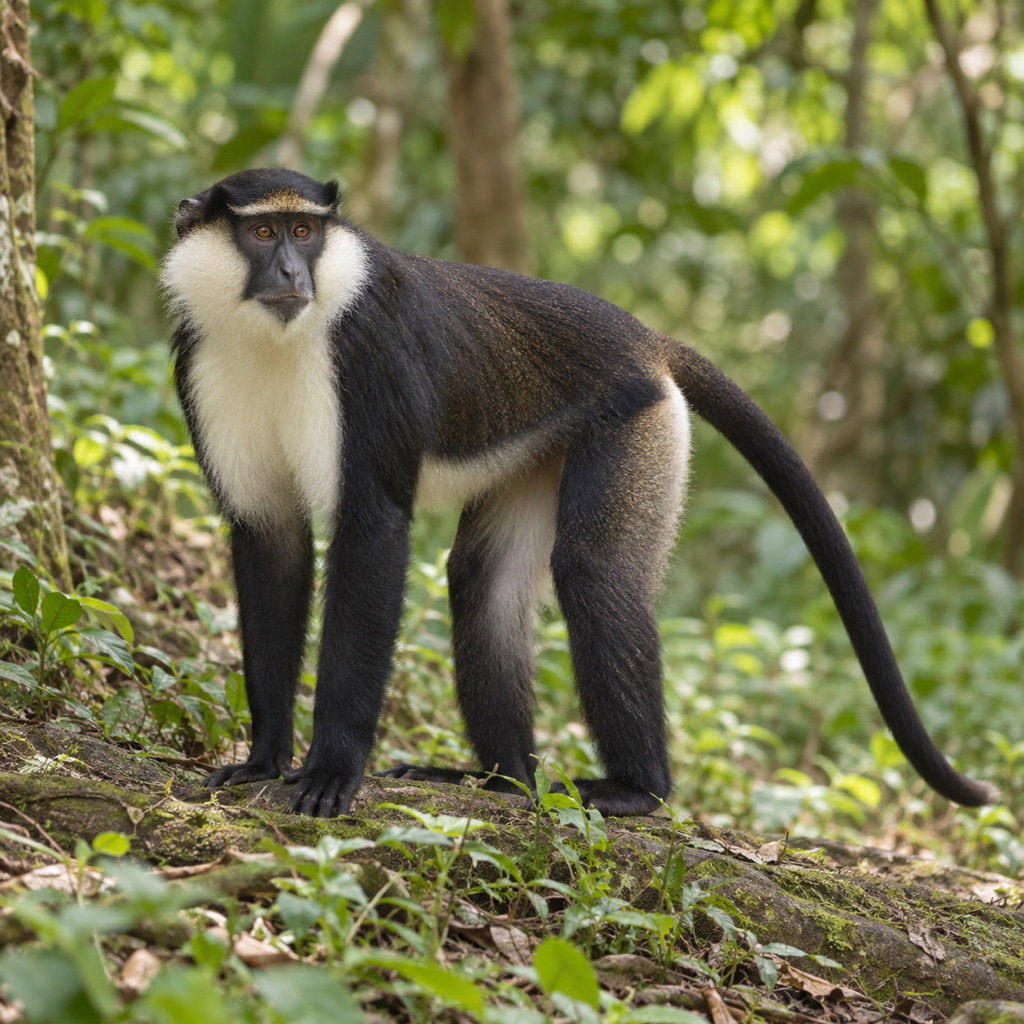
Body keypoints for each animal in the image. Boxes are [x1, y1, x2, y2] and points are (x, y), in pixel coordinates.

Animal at [161, 168, 997, 818]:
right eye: (263, 235)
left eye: (305, 231)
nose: (293, 276)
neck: (275, 339)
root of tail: (645, 340)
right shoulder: (199, 362)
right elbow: (270, 537)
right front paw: (265, 758)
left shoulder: (367, 359)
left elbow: (371, 530)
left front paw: (332, 769)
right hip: (541, 453)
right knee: (484, 582)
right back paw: (499, 779)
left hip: (638, 426)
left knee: (595, 571)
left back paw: (636, 788)